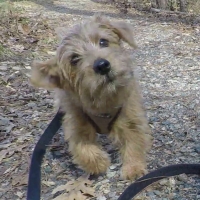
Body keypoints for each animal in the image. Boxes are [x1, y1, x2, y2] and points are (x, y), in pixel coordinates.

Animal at [30, 15, 152, 180]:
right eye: (74, 59)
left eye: (103, 42)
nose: (102, 65)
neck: (103, 100)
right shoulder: (76, 125)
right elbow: (82, 148)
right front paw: (98, 164)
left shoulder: (130, 120)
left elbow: (134, 142)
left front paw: (134, 168)